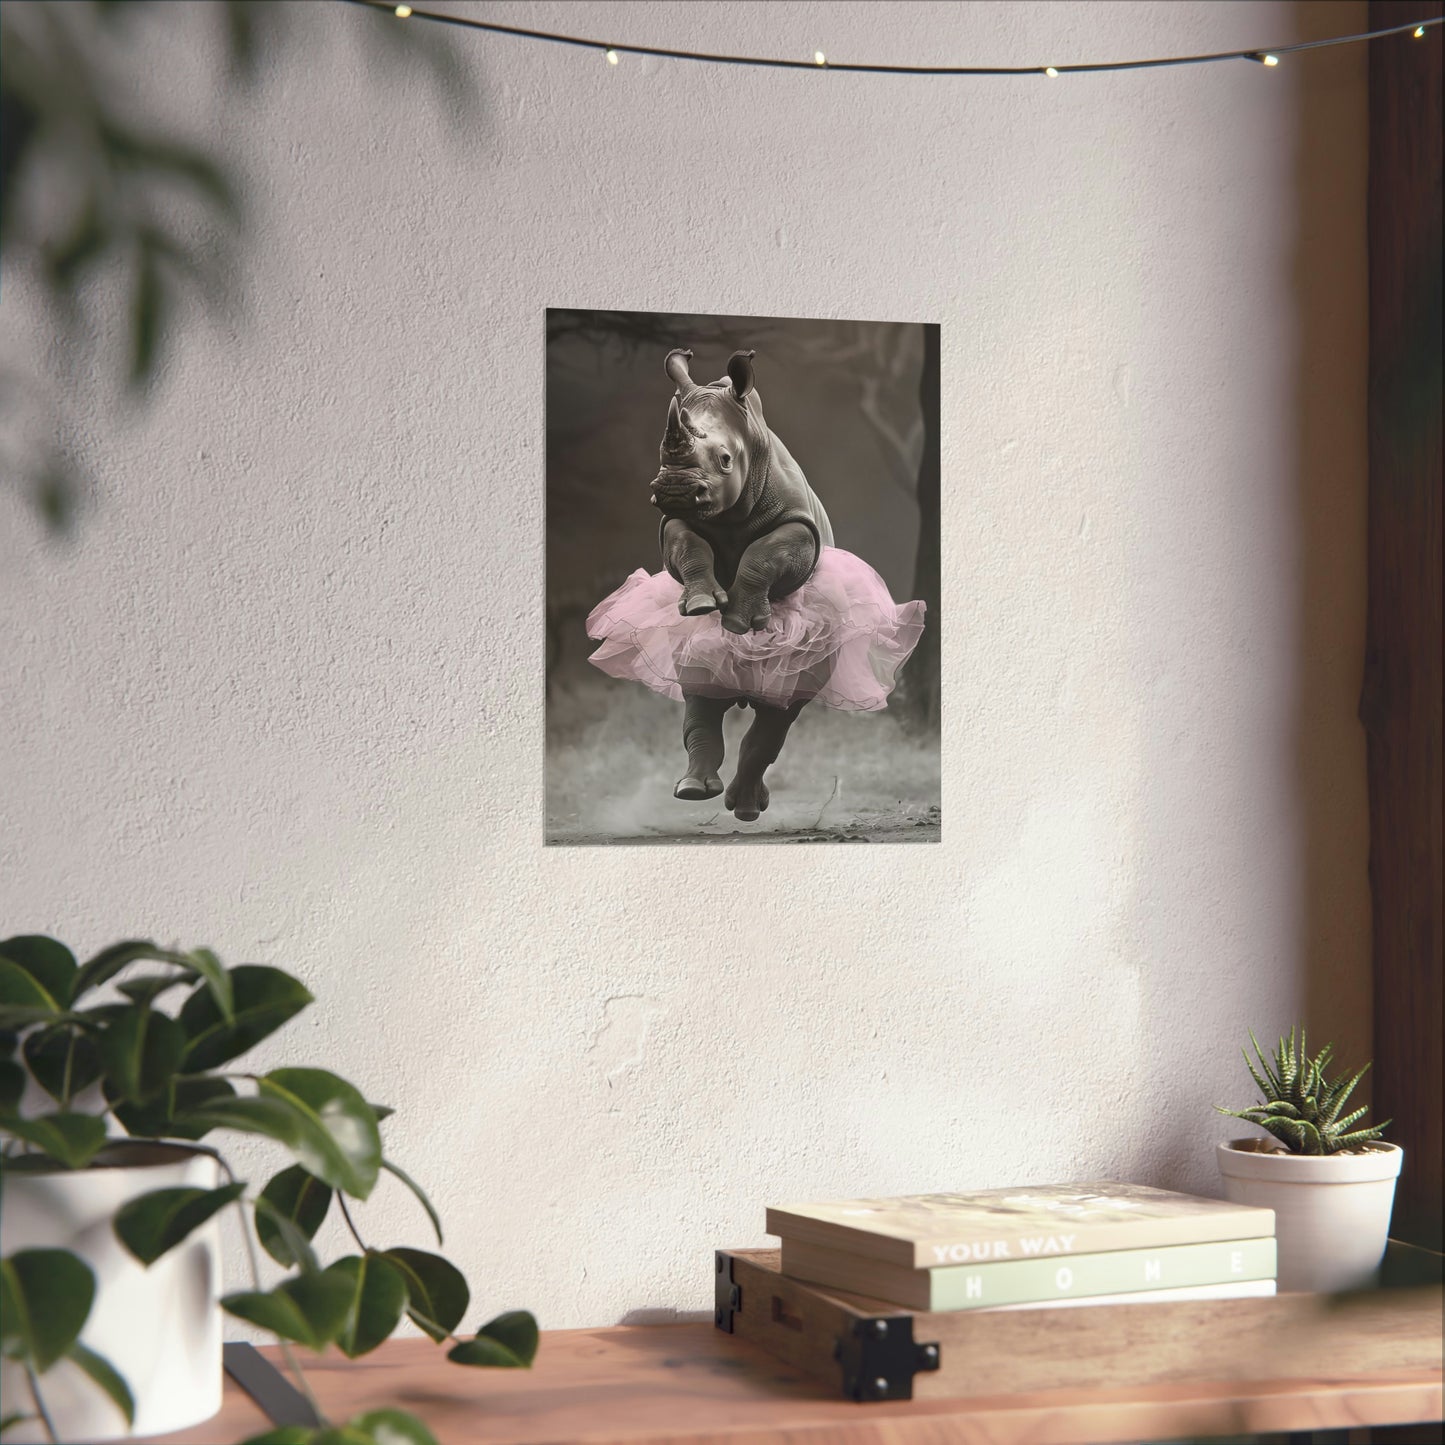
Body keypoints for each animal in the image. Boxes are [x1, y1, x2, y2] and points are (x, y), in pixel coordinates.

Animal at [651, 347, 834, 821]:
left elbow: (764, 553)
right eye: (660, 455)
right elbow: (687, 544)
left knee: (781, 708)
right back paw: (694, 791)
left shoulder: (800, 527)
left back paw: (747, 809)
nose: (675, 490)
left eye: (725, 460)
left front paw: (736, 622)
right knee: (700, 685)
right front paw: (701, 605)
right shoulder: (673, 520)